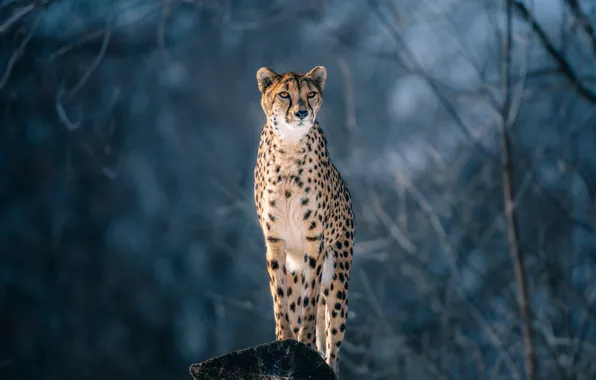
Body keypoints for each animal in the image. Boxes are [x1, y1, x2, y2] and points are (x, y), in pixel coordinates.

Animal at [253, 65, 354, 374]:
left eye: (310, 94)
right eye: (284, 94)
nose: (301, 113)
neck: (289, 147)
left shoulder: (314, 242)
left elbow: (310, 304)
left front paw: (305, 342)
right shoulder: (275, 242)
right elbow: (280, 300)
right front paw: (283, 339)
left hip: (338, 281)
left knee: (333, 337)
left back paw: (327, 363)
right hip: (295, 266)